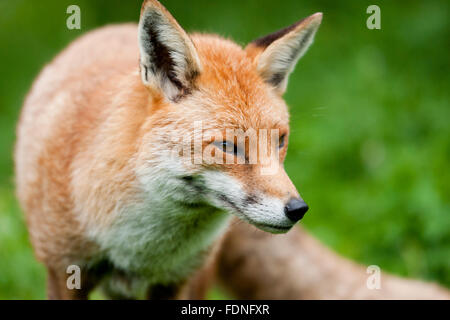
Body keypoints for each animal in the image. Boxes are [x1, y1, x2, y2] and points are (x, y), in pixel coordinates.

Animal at [14, 0, 450, 300]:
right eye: (227, 147)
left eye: (280, 140)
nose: (298, 209)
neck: (141, 247)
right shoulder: (64, 272)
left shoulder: (176, 281)